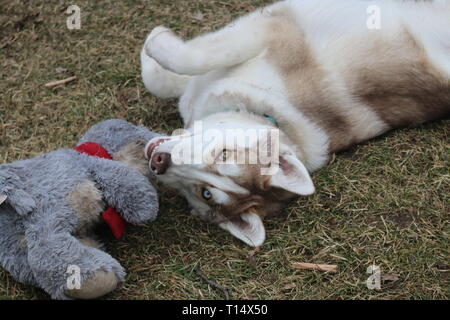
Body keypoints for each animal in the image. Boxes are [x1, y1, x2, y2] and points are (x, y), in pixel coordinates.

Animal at [140, 0, 446, 246]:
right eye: (204, 193)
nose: (159, 162)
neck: (269, 111)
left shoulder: (272, 30)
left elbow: (195, 57)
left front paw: (155, 40)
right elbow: (164, 81)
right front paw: (153, 59)